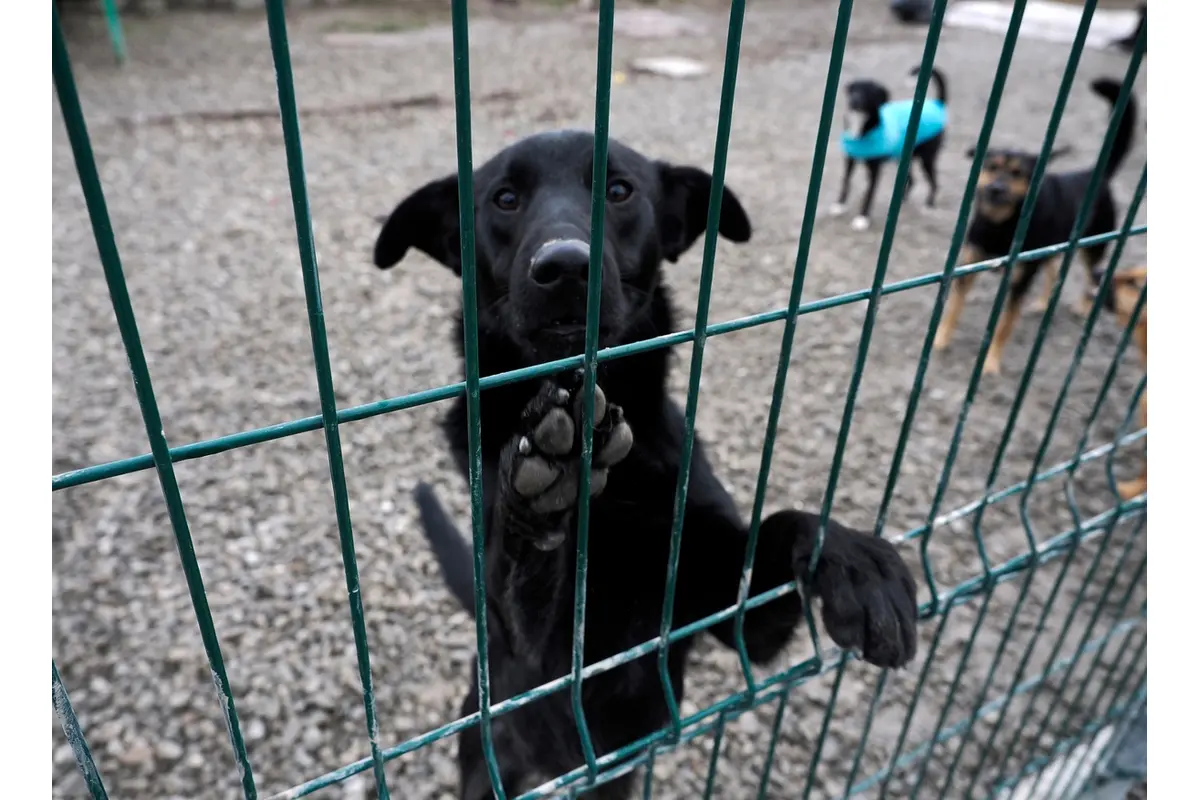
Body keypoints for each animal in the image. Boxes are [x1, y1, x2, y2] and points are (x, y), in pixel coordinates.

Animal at [369, 131, 912, 800]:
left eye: (620, 189)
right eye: (505, 199)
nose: (564, 266)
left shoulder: (733, 611)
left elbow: (785, 523)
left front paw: (861, 563)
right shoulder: (530, 651)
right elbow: (523, 573)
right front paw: (544, 482)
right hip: (488, 759)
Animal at [830, 65, 950, 231]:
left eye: (869, 92)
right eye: (854, 89)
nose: (853, 100)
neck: (863, 126)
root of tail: (937, 104)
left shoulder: (875, 170)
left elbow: (869, 193)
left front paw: (862, 218)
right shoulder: (850, 160)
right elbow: (846, 181)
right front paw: (840, 205)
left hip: (927, 159)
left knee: (934, 182)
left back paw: (929, 205)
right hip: (903, 158)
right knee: (911, 180)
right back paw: (901, 200)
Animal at [931, 77, 1137, 376]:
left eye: (1018, 173)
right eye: (991, 167)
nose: (996, 189)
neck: (1001, 225)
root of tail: (1094, 174)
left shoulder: (1019, 283)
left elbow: (1003, 326)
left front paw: (991, 363)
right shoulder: (968, 268)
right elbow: (953, 309)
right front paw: (941, 339)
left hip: (1094, 247)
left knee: (1091, 275)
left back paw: (1083, 306)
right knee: (1052, 271)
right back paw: (1041, 304)